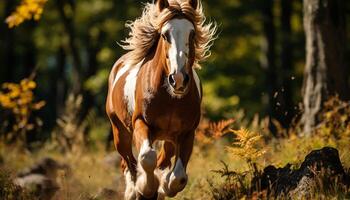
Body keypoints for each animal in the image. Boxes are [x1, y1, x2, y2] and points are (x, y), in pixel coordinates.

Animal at [106, 0, 216, 199]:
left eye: (192, 33)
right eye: (165, 35)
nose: (178, 79)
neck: (170, 98)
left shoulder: (187, 132)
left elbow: (178, 177)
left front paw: (162, 186)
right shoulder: (141, 123)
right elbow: (146, 158)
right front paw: (145, 188)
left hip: (169, 138)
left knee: (161, 159)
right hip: (120, 132)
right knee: (128, 163)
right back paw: (132, 191)